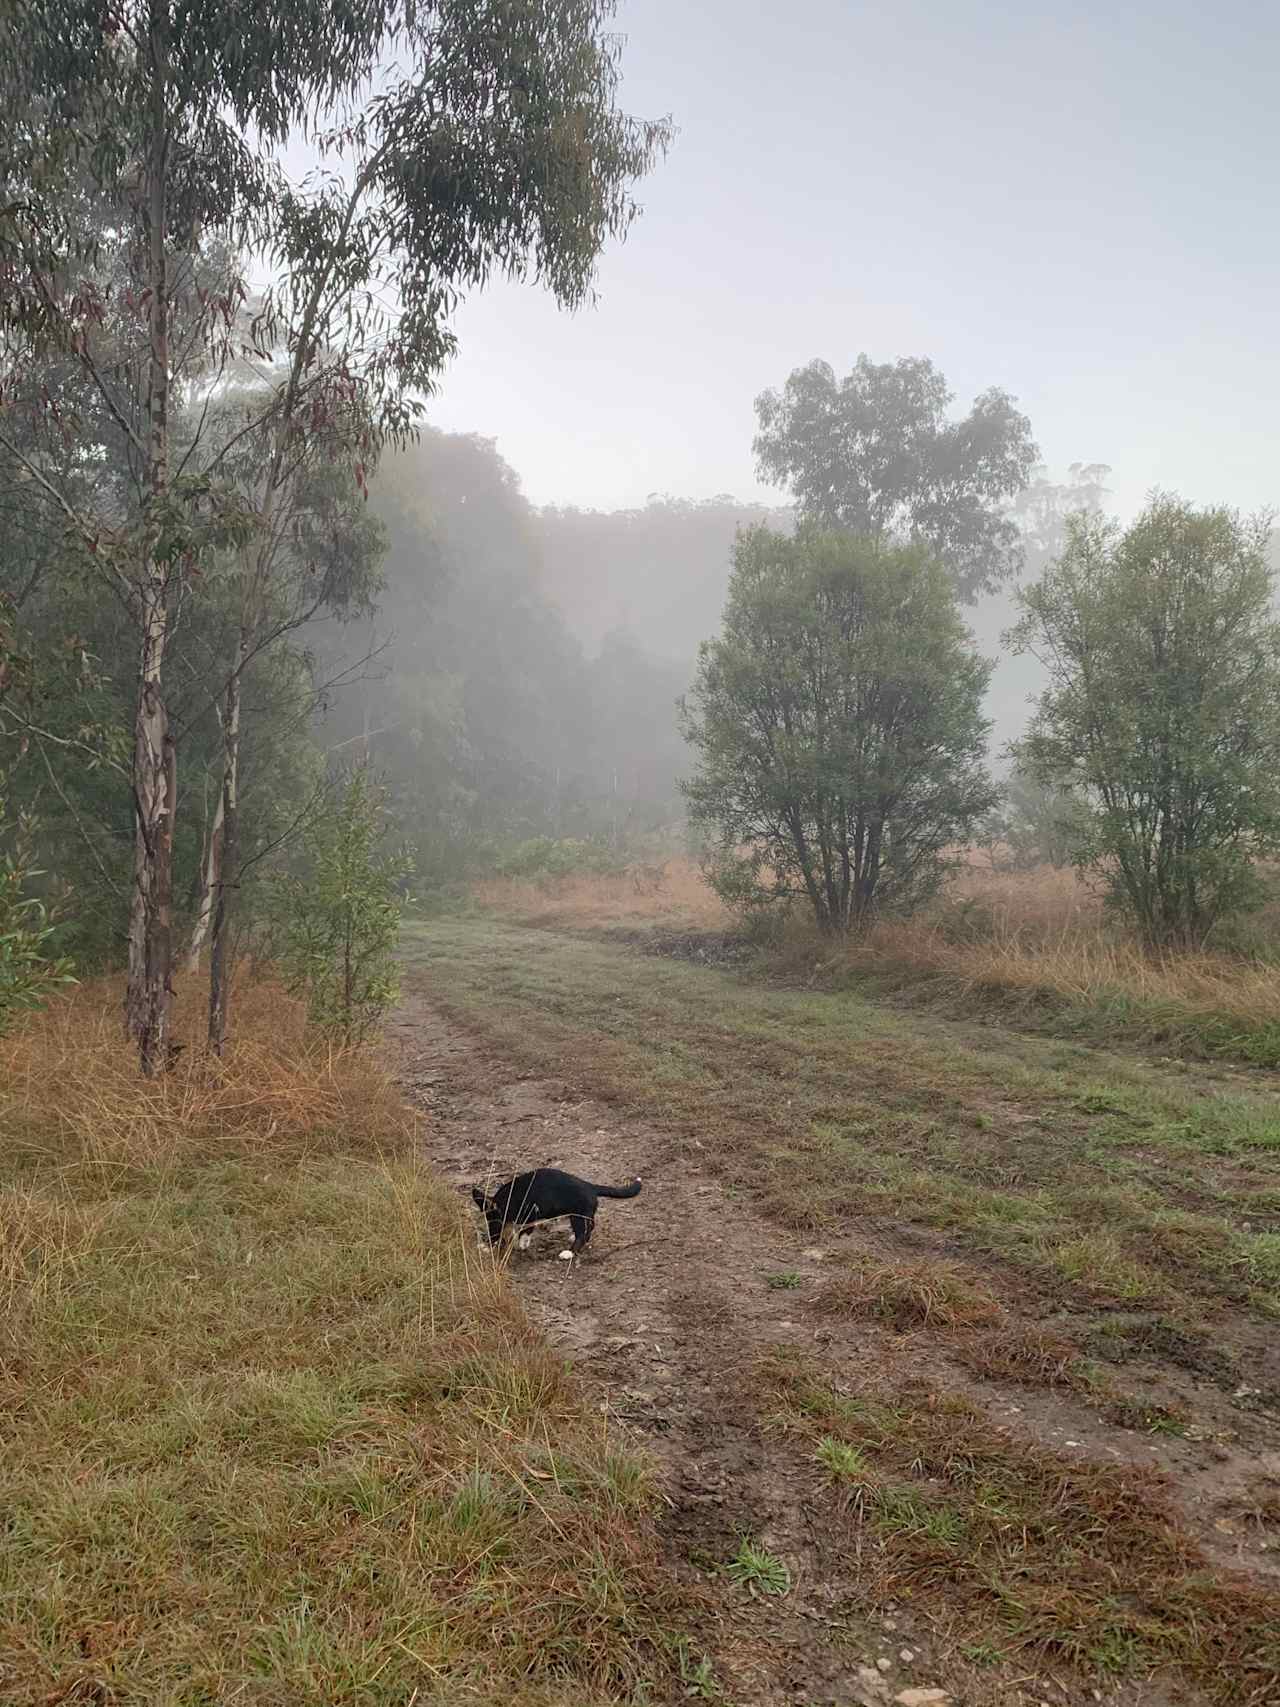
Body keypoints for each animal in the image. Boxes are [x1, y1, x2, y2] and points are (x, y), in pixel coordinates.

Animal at [474, 1167, 645, 1263]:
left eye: (493, 1223)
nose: (491, 1238)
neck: (510, 1198)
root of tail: (591, 1186)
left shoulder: (532, 1213)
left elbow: (525, 1229)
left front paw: (520, 1242)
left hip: (577, 1216)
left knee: (583, 1234)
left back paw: (569, 1252)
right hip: (581, 1215)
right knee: (589, 1228)